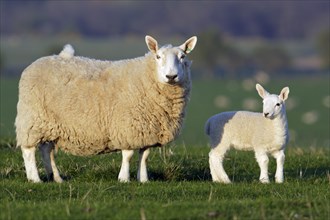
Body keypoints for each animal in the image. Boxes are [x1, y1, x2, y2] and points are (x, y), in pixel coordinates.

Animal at [14, 35, 196, 183]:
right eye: (158, 56)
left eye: (183, 56)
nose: (171, 76)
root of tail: (38, 62)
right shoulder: (126, 126)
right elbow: (128, 155)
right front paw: (124, 178)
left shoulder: (147, 130)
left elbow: (144, 156)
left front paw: (143, 179)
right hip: (33, 119)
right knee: (28, 150)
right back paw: (35, 179)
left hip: (51, 124)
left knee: (46, 150)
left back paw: (56, 178)